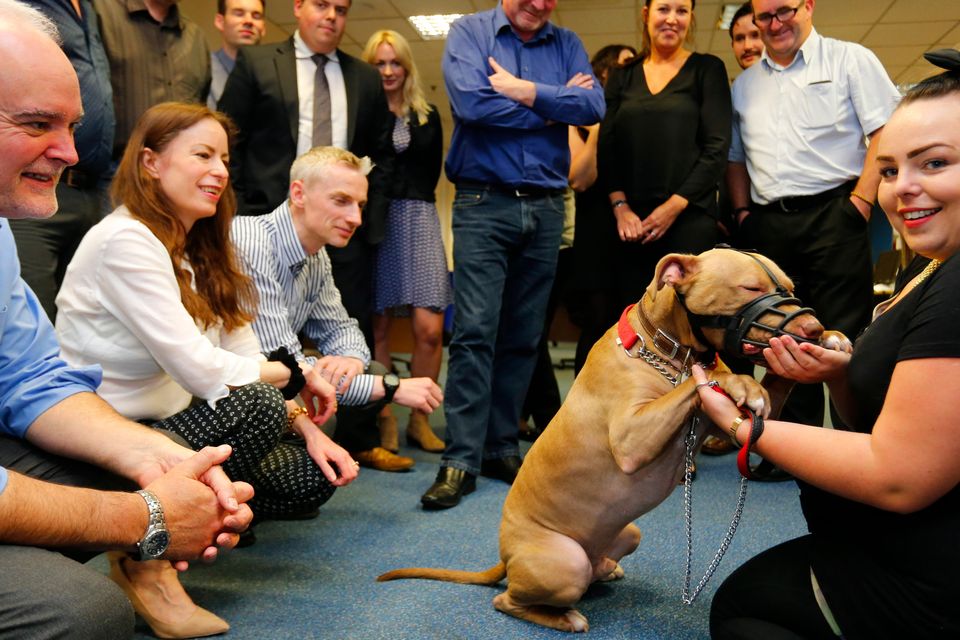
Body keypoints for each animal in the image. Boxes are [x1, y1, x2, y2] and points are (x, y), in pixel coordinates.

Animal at [378, 249, 844, 632]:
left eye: (789, 289)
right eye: (750, 288)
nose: (813, 326)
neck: (666, 351)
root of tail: (505, 556)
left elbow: (763, 393)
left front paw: (819, 350)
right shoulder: (633, 437)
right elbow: (697, 386)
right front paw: (739, 382)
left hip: (629, 533)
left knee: (594, 566)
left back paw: (603, 568)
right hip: (561, 563)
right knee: (507, 601)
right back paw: (565, 616)